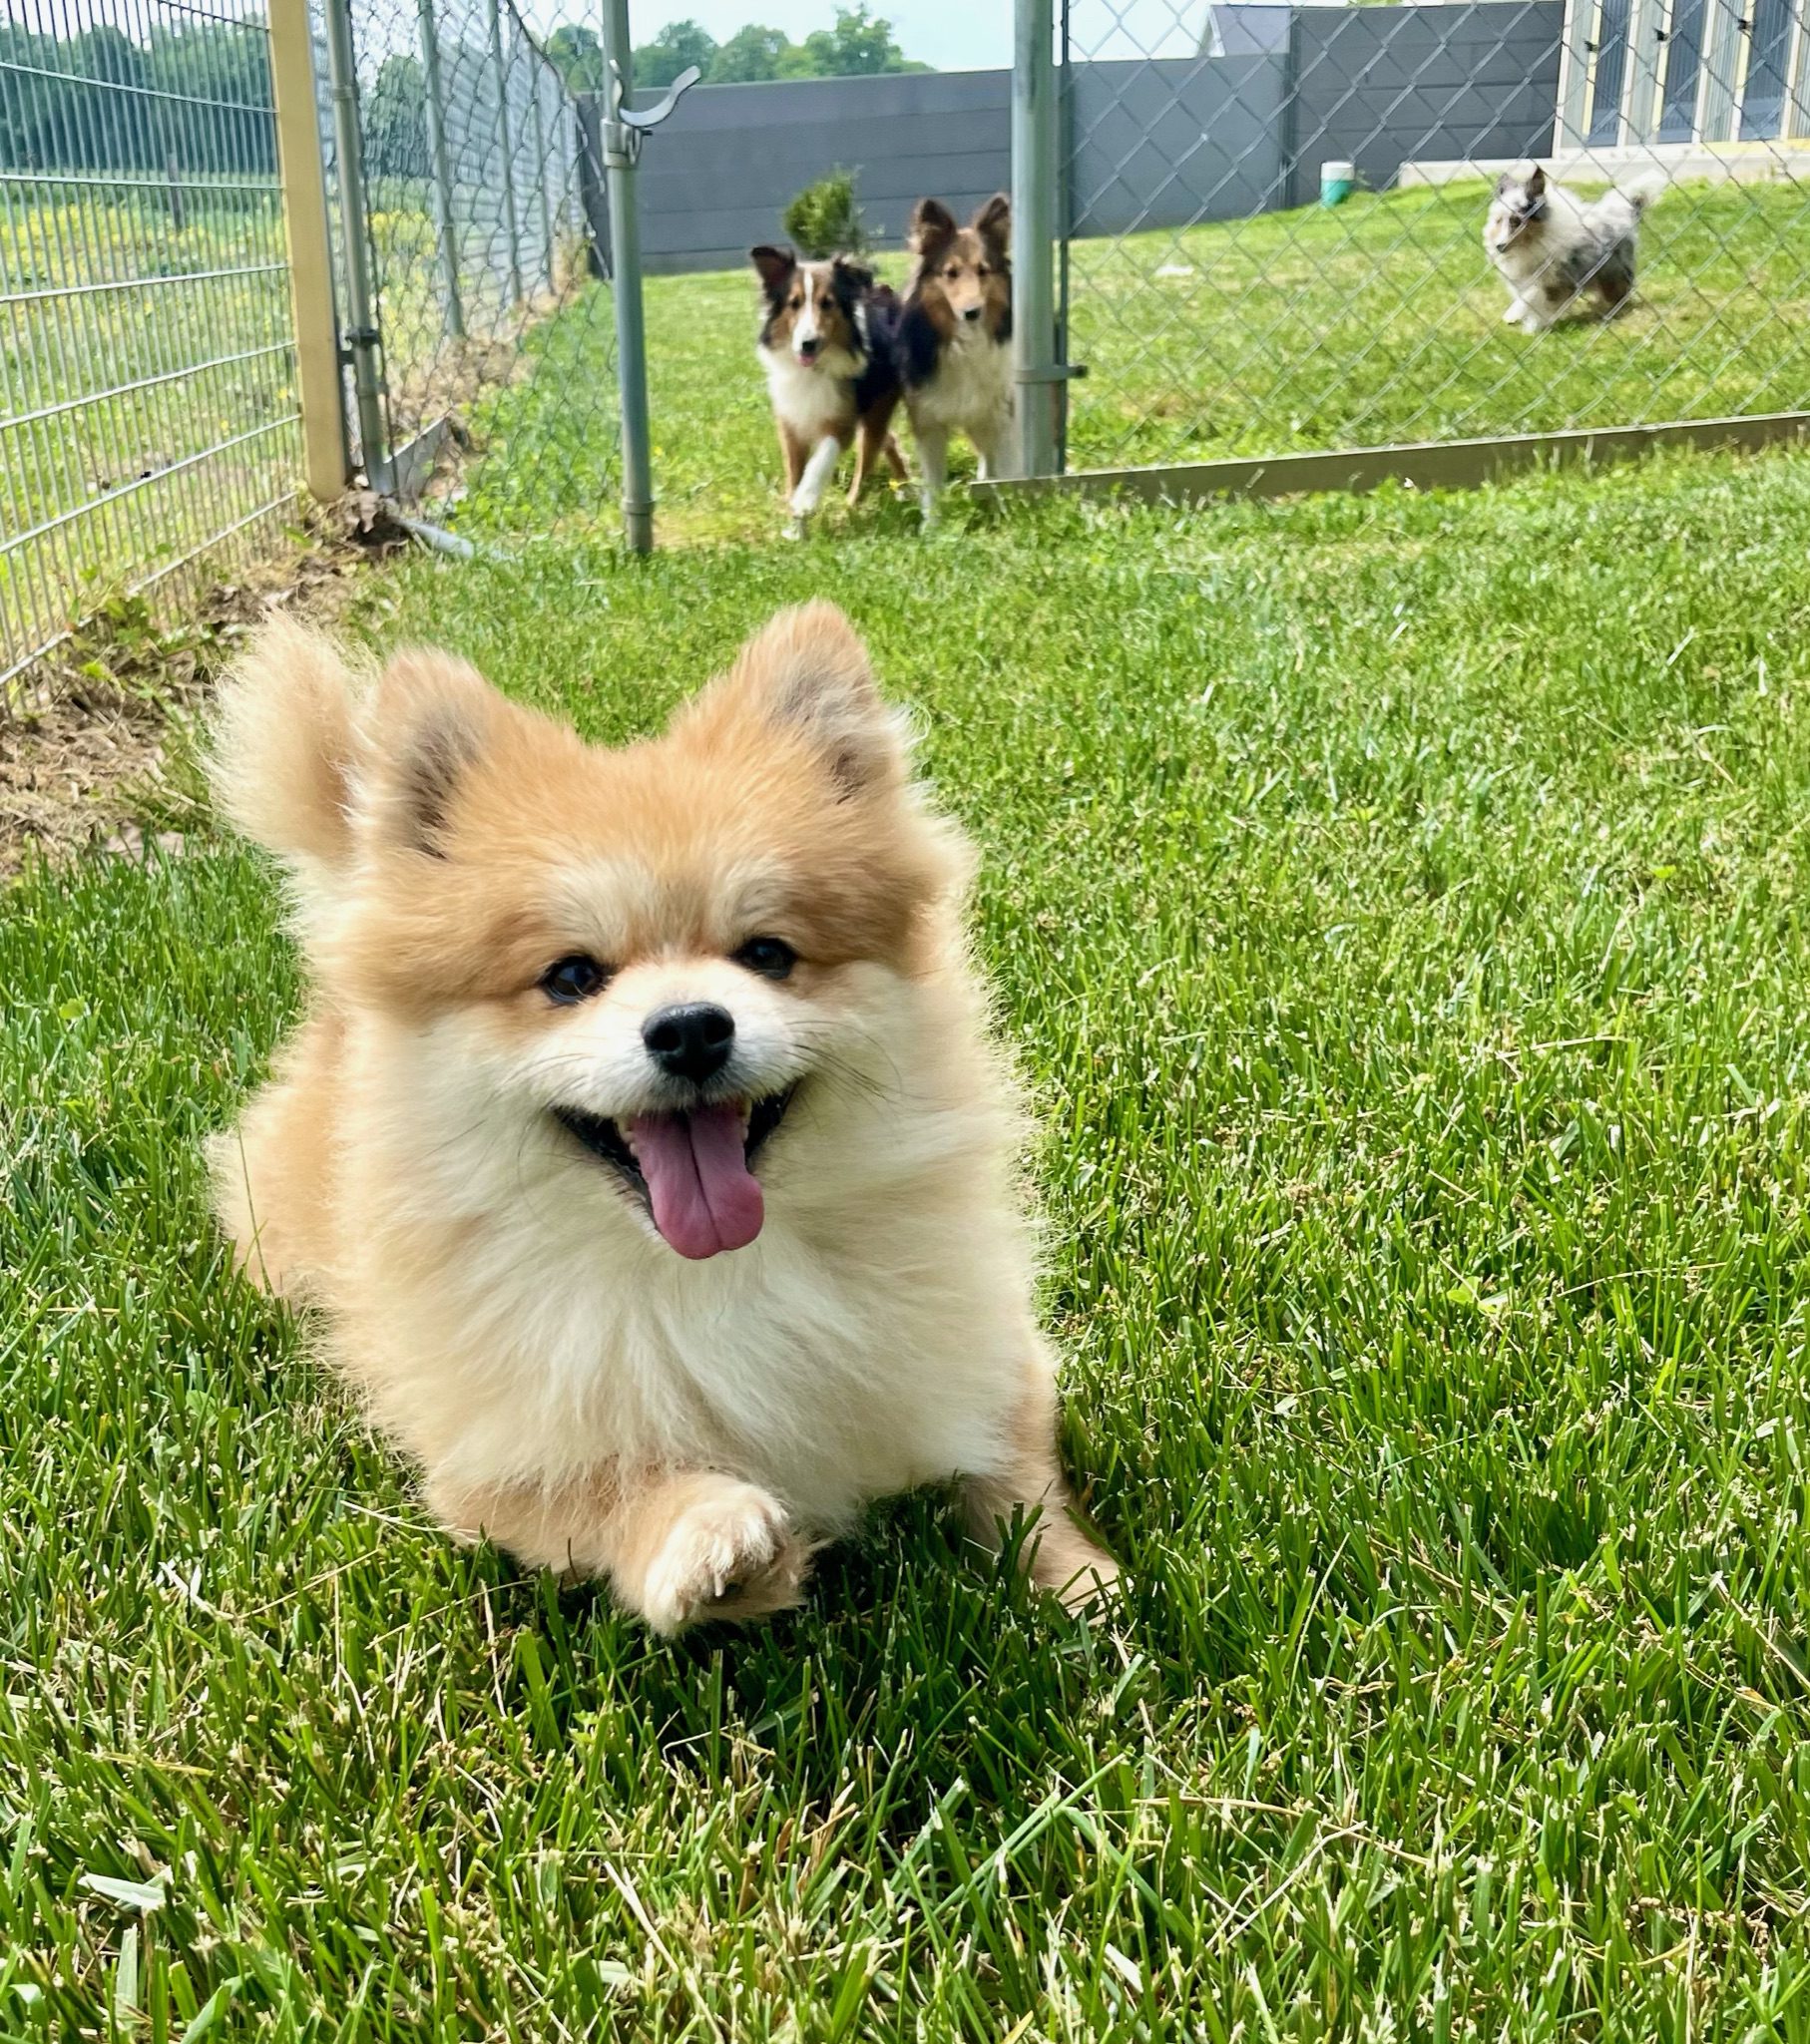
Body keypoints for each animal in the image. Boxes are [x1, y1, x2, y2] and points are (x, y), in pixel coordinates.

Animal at [209, 597, 1113, 1635]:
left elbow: (1015, 1474)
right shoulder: (491, 1467)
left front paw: (1076, 1581)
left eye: (768, 953)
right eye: (570, 976)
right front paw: (714, 1540)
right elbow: (604, 1488)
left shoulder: (991, 1346)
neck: (710, 1275)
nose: (689, 1027)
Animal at [891, 194, 1018, 519]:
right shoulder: (928, 423)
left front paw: (1010, 513)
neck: (964, 343)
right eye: (951, 273)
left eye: (984, 270)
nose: (972, 313)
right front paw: (932, 525)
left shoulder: (1002, 415)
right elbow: (933, 486)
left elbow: (1008, 473)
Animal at [1480, 162, 1652, 335]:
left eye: (1516, 221)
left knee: (1620, 292)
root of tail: (1623, 210)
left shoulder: (1557, 277)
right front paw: (1530, 331)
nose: (1499, 246)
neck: (1533, 242)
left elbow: (1532, 294)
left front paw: (1513, 317)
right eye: (1498, 220)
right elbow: (1534, 304)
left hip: (1611, 271)